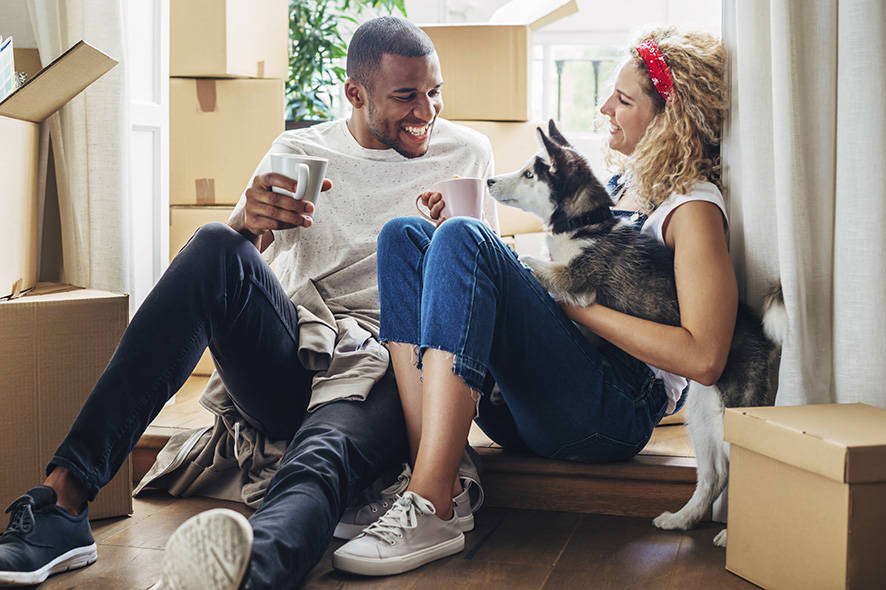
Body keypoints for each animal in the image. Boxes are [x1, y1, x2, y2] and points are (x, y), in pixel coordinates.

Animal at [490, 121, 788, 552]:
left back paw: (734, 537)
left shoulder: (574, 281)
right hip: (702, 417)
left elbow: (527, 261)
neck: (586, 224)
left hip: (731, 414)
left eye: (530, 173)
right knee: (714, 476)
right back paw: (681, 520)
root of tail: (764, 338)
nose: (489, 180)